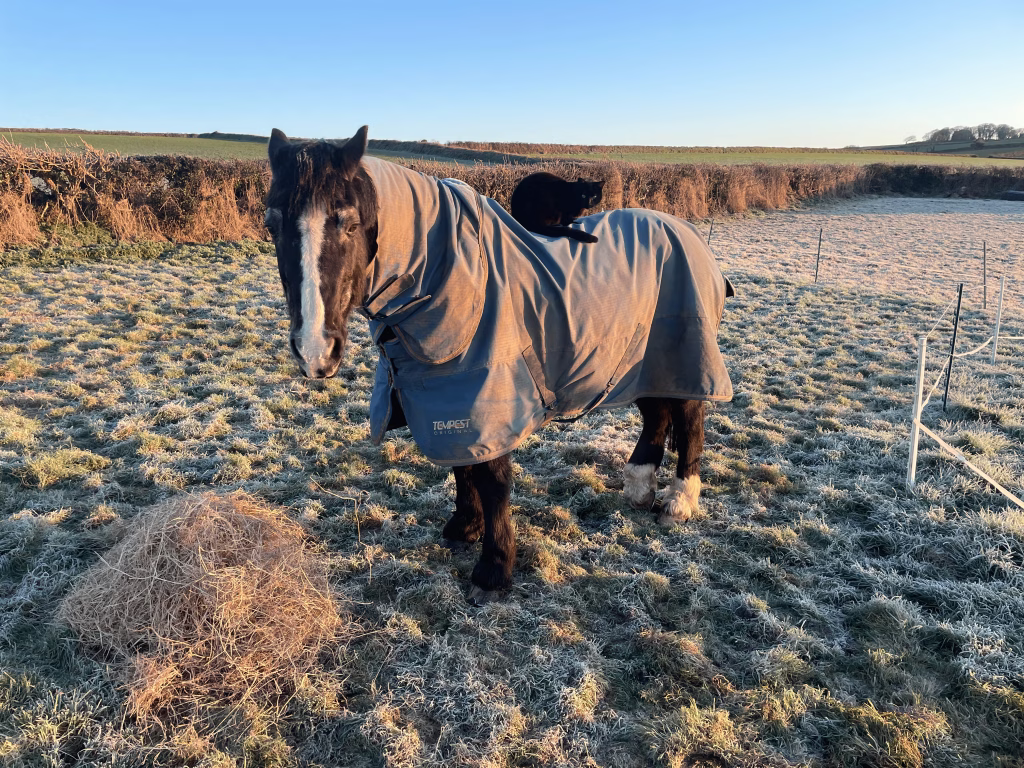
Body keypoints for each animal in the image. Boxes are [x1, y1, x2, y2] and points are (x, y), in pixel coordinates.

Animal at [264, 126, 734, 603]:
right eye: (271, 224)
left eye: (351, 222)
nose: (314, 350)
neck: (448, 277)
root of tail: (688, 233)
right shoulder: (445, 396)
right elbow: (462, 466)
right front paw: (465, 527)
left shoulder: (488, 399)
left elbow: (492, 480)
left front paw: (494, 567)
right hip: (636, 364)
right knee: (657, 416)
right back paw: (639, 488)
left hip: (682, 355)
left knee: (690, 420)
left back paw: (679, 502)